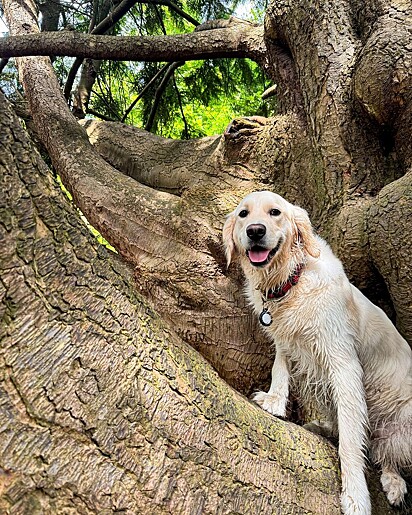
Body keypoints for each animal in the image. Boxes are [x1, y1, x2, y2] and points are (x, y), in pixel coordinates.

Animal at [224, 191, 410, 515]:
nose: (255, 231)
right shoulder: (285, 340)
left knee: (387, 454)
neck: (289, 281)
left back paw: (394, 482)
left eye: (275, 212)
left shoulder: (344, 365)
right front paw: (275, 400)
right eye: (243, 214)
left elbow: (350, 442)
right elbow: (279, 368)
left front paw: (355, 496)